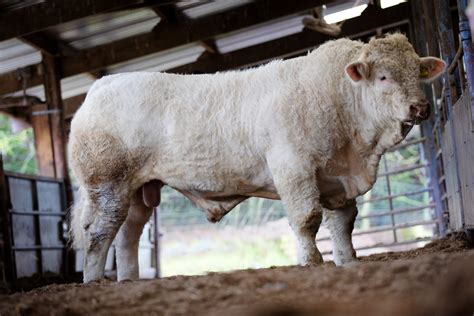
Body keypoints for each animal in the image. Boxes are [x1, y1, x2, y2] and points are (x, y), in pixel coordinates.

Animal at [69, 34, 444, 282]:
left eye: (417, 71)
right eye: (383, 76)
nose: (420, 107)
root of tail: (103, 86)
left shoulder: (338, 180)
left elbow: (343, 223)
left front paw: (348, 261)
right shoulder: (293, 168)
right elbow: (307, 219)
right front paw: (312, 262)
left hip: (139, 191)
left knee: (127, 235)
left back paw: (128, 282)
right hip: (108, 184)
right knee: (99, 232)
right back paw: (94, 282)